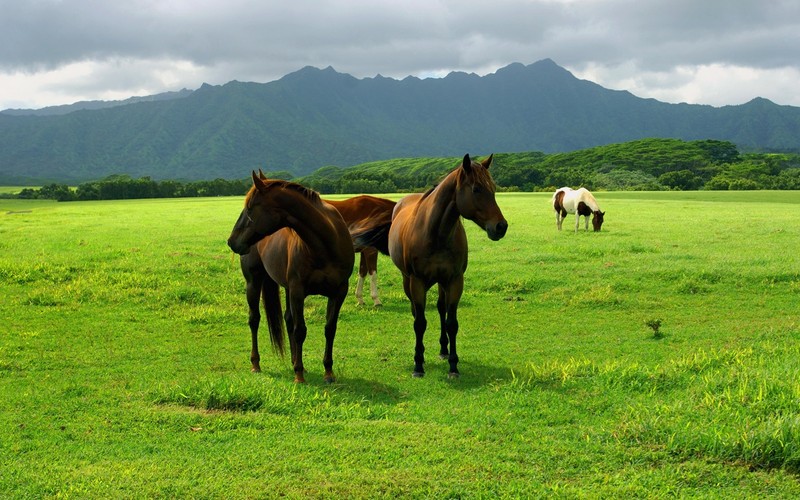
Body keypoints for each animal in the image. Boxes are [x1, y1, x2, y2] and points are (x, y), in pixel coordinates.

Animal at [223, 172, 352, 382]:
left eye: (250, 208)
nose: (232, 241)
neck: (325, 245)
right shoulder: (298, 291)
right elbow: (300, 330)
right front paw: (299, 375)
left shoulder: (339, 292)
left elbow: (329, 329)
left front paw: (328, 371)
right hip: (254, 282)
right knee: (254, 319)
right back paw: (256, 364)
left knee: (288, 320)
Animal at [382, 154, 506, 376]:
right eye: (476, 189)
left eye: (493, 188)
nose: (501, 226)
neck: (435, 233)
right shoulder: (417, 281)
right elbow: (420, 322)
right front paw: (418, 364)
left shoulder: (455, 280)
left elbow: (451, 322)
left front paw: (453, 365)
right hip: (407, 280)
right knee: (416, 312)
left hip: (441, 282)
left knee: (441, 309)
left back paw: (443, 350)